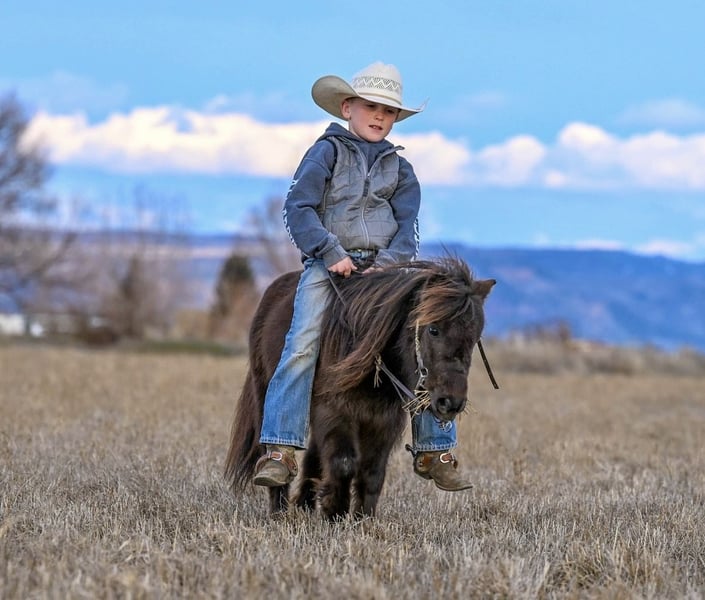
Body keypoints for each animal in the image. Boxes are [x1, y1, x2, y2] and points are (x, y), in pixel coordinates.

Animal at [224, 256, 495, 521]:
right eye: (433, 329)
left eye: (474, 338)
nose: (451, 403)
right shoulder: (335, 412)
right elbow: (344, 463)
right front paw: (335, 512)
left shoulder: (383, 421)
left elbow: (372, 471)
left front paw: (362, 518)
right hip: (265, 394)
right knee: (276, 448)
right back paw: (279, 509)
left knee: (314, 455)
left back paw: (305, 505)